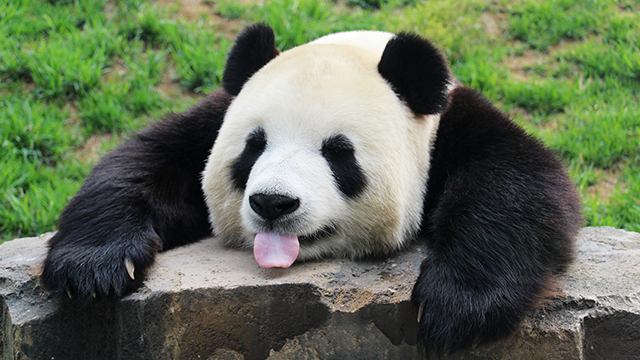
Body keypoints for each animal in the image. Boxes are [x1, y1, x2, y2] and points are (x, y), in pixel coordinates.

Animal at [38, 23, 580, 356]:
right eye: (254, 146)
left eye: (339, 152)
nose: (273, 203)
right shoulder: (215, 118)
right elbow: (142, 162)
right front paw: (93, 269)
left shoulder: (449, 124)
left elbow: (518, 182)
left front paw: (455, 308)